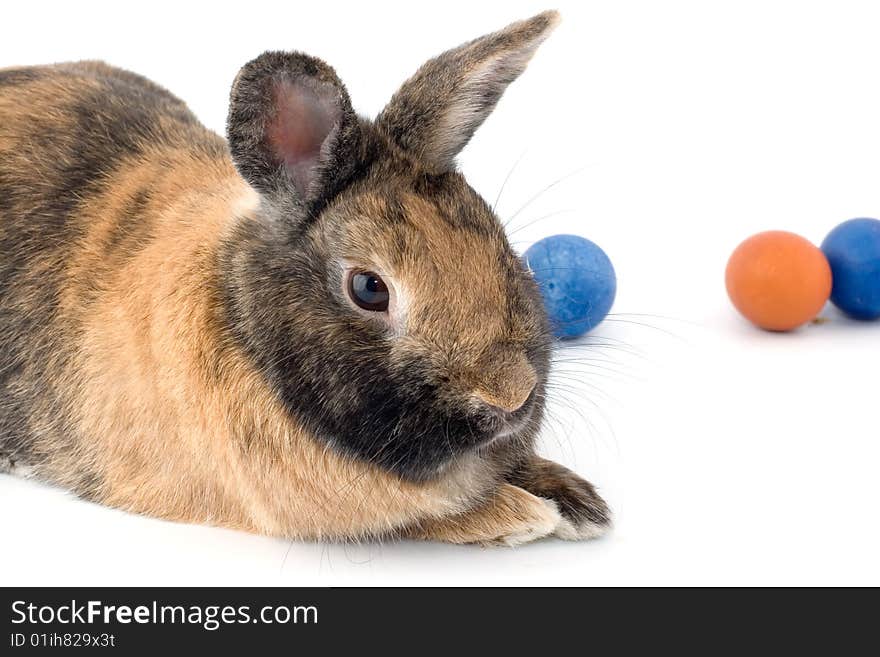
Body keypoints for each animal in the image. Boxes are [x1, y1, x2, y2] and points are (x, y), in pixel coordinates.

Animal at [0, 10, 608, 544]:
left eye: (495, 238)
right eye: (369, 289)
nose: (510, 396)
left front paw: (577, 502)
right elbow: (429, 516)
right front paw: (525, 515)